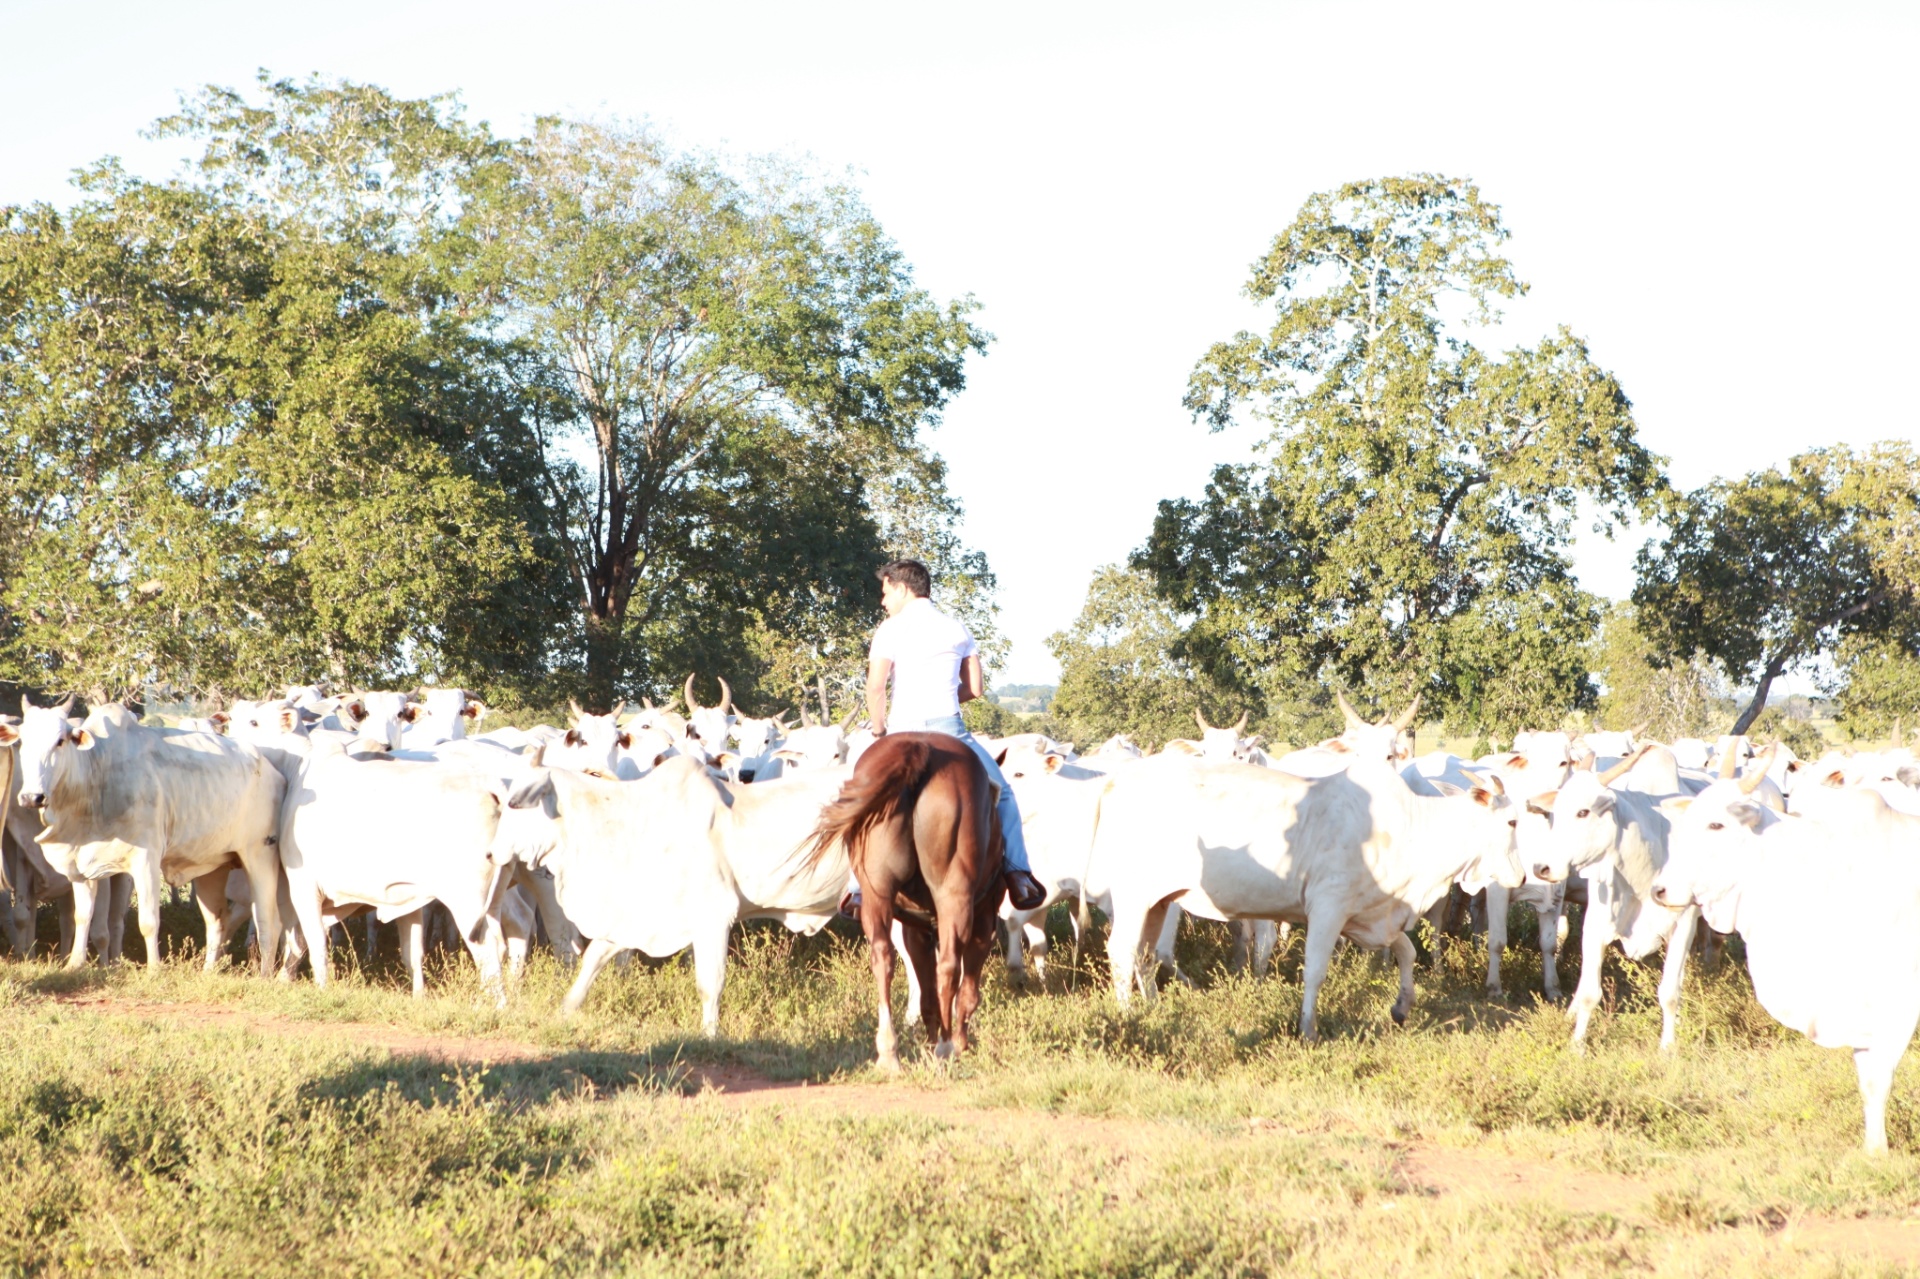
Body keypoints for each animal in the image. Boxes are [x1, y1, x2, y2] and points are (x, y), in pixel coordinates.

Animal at [804, 732, 1005, 1071]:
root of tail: (919, 748)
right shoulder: (984, 921)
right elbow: (966, 990)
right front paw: (958, 1042)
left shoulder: (916, 927)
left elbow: (925, 992)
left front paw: (928, 1040)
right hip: (954, 894)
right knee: (949, 964)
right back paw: (945, 1048)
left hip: (876, 891)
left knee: (882, 955)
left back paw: (889, 1052)